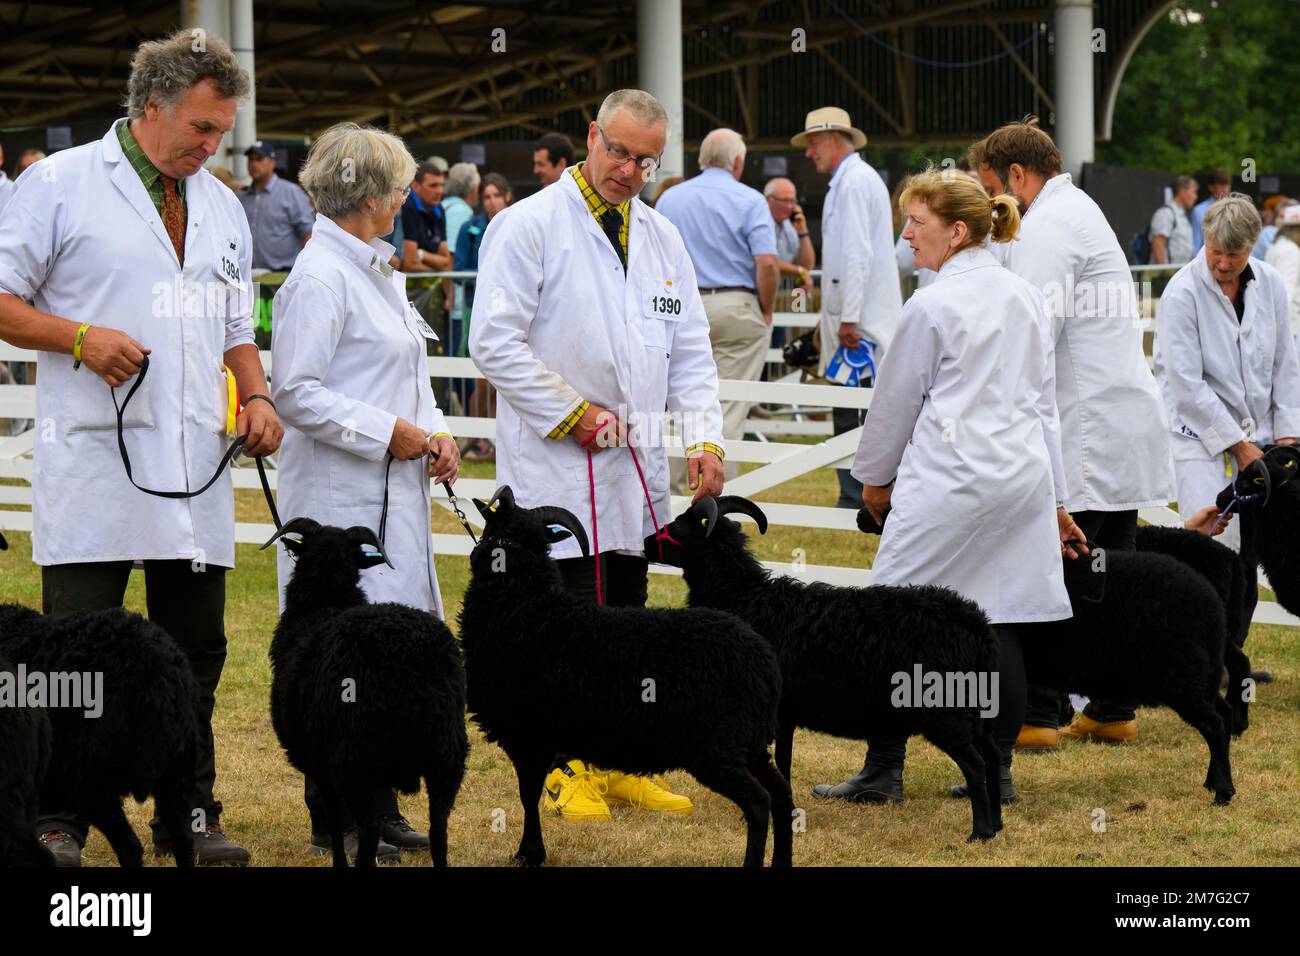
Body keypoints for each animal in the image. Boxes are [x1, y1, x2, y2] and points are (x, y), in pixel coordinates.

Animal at [262, 520, 467, 868]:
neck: (325, 602)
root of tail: (412, 660)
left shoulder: (320, 764)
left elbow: (334, 820)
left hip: (357, 758)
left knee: (369, 831)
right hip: (448, 754)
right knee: (439, 832)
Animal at [462, 489, 795, 868]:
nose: (504, 494)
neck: (523, 606)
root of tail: (764, 663)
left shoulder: (528, 735)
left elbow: (527, 796)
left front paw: (529, 854)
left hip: (717, 749)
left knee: (759, 803)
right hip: (750, 744)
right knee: (782, 795)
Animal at [650, 496, 1003, 842]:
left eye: (678, 527)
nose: (645, 542)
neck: (746, 599)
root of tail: (976, 625)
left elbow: (775, 764)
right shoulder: (784, 714)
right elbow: (783, 763)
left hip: (944, 709)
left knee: (975, 764)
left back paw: (980, 833)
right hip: (975, 708)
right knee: (993, 755)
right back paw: (997, 825)